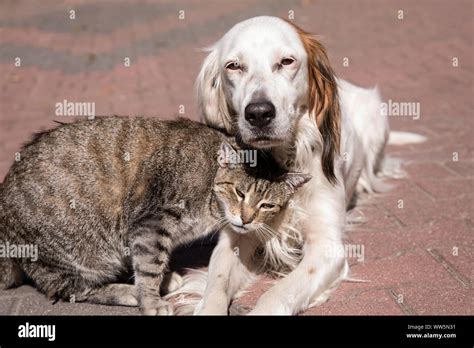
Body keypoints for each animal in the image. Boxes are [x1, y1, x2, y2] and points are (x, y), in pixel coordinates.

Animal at [0, 117, 312, 316]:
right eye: (239, 192)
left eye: (267, 205)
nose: (246, 219)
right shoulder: (150, 224)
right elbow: (150, 266)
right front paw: (150, 301)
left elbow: (149, 263)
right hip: (80, 254)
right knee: (72, 289)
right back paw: (130, 292)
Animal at [170, 16, 426, 316]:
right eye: (233, 66)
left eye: (287, 61)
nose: (259, 113)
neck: (279, 162)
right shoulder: (235, 235)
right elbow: (216, 286)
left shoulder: (327, 246)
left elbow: (276, 294)